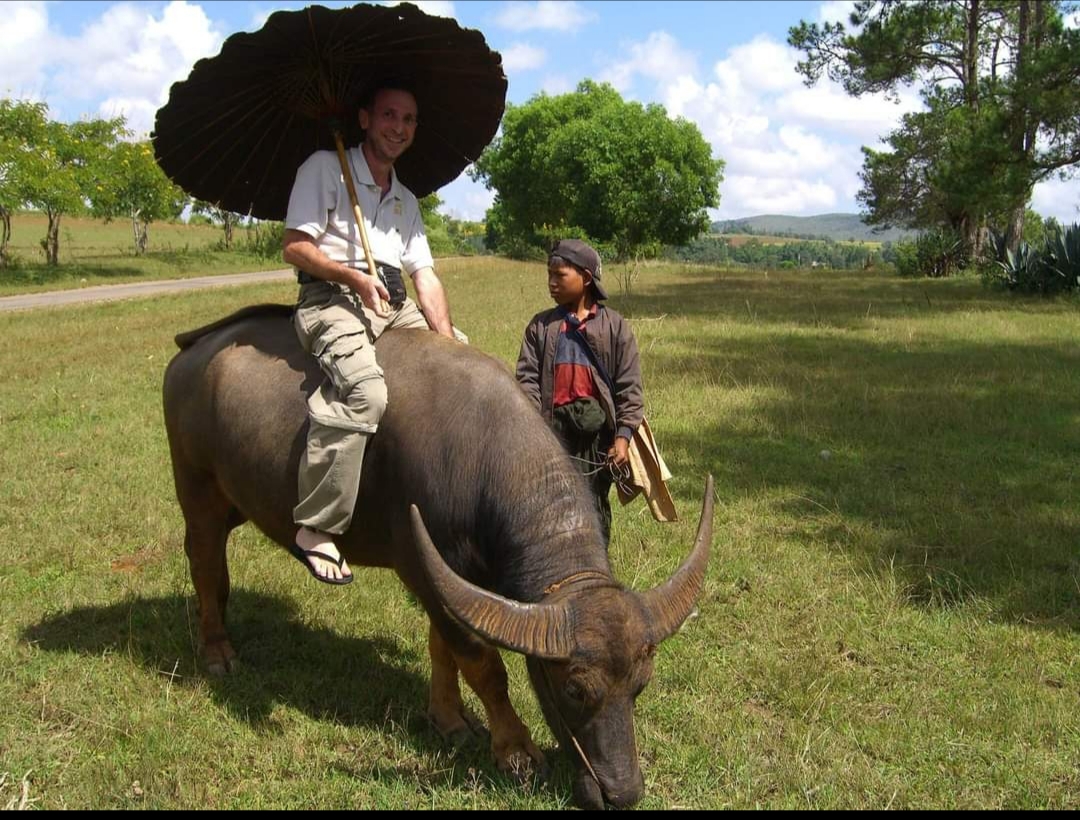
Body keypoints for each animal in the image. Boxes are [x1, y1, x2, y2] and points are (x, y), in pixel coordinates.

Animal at [164, 302, 712, 808]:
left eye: (640, 685)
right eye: (575, 690)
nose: (622, 793)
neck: (478, 457)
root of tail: (192, 352)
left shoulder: (451, 577)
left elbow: (441, 647)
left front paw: (448, 718)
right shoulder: (421, 565)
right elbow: (482, 662)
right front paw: (515, 749)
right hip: (197, 491)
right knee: (205, 565)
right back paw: (218, 651)